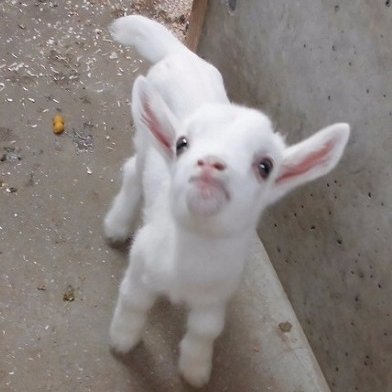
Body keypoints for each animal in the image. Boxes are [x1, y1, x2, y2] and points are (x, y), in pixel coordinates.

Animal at [103, 14, 350, 386]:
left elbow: (205, 330)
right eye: (182, 144)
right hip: (145, 143)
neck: (192, 256)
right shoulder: (143, 268)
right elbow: (132, 303)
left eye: (266, 166)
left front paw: (195, 369)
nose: (211, 163)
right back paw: (117, 225)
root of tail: (180, 52)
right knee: (133, 169)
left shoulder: (217, 295)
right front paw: (122, 340)